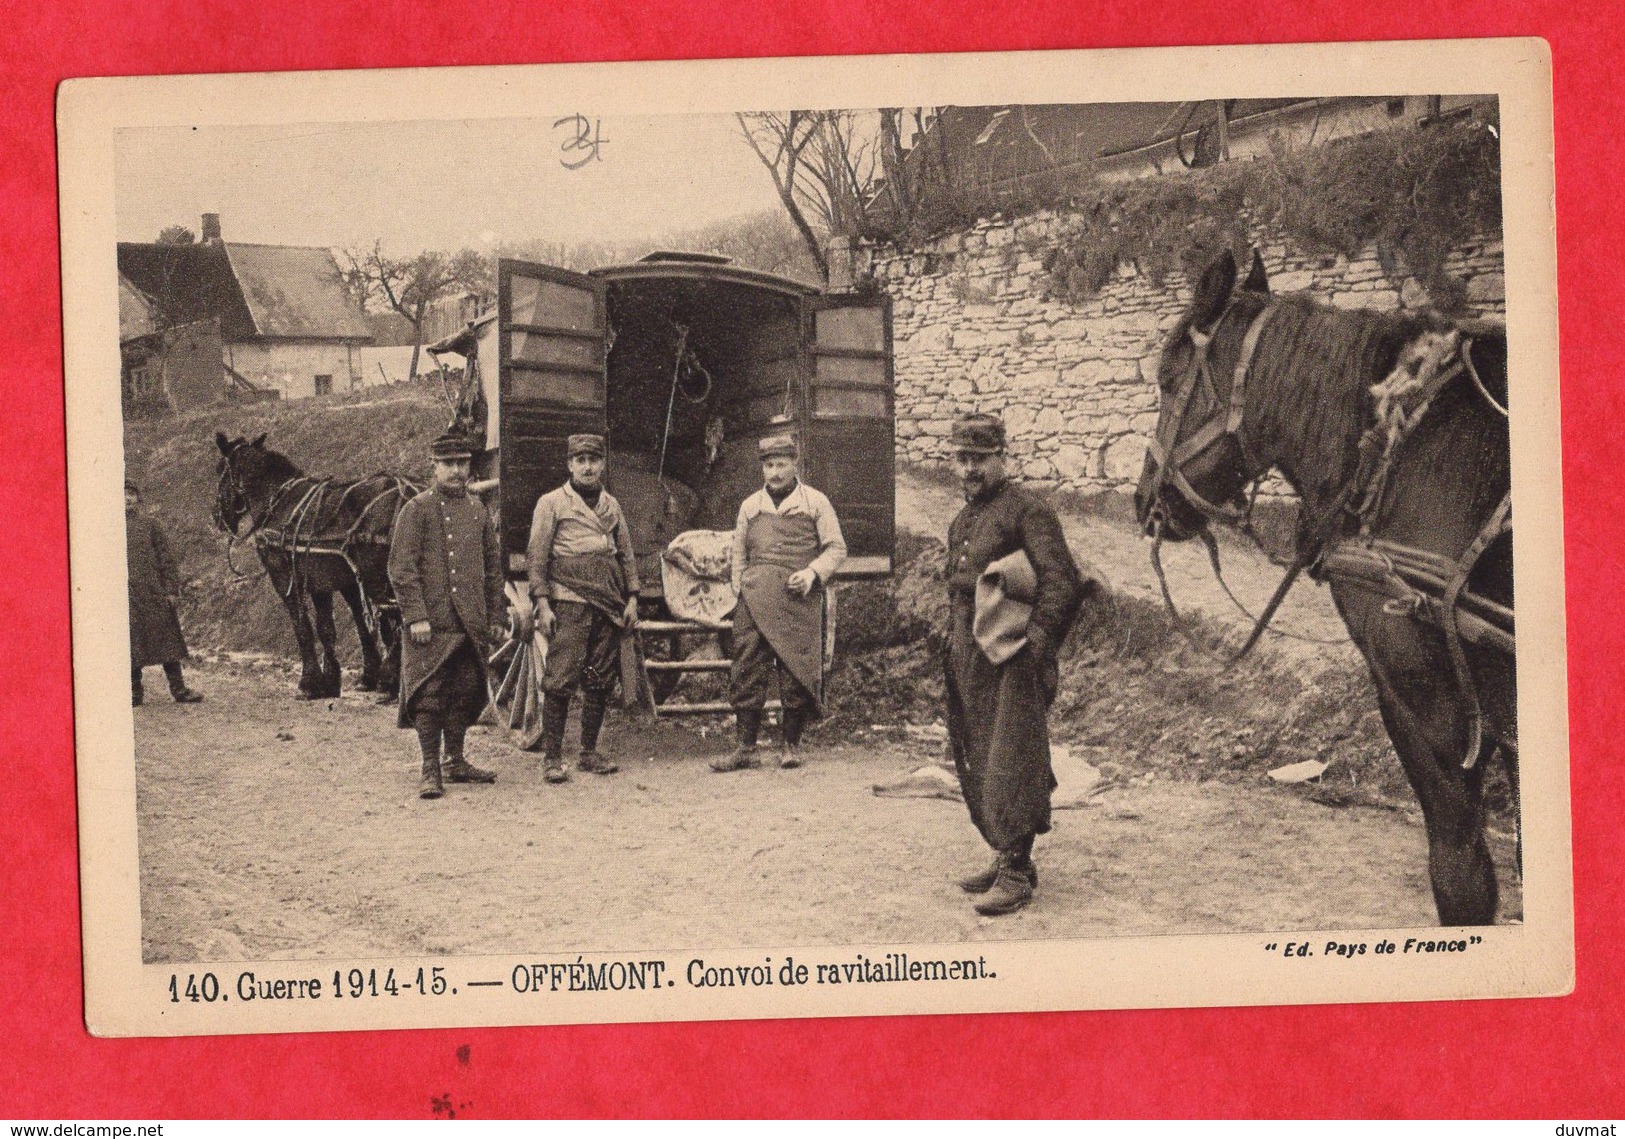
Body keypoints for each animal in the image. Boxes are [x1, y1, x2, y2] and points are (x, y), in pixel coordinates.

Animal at [214, 432, 419, 698]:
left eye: (219, 470)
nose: (216, 516)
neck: (277, 501)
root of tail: (409, 493)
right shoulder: (325, 581)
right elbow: (328, 629)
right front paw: (332, 680)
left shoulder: (285, 579)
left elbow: (302, 627)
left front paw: (309, 681)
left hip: (378, 577)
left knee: (400, 618)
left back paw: (391, 679)